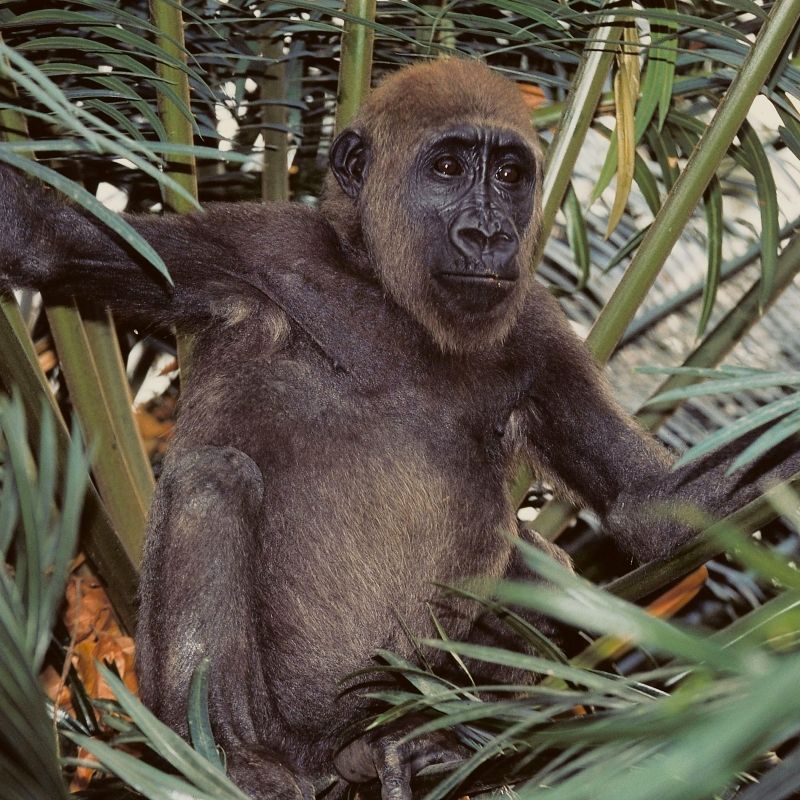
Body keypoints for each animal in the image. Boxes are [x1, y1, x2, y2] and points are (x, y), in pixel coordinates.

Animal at [1, 58, 798, 800]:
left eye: (510, 174)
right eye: (447, 167)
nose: (488, 234)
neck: (384, 286)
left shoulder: (540, 331)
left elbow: (650, 508)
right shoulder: (254, 247)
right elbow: (42, 241)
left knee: (536, 566)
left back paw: (442, 739)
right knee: (211, 479)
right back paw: (234, 757)